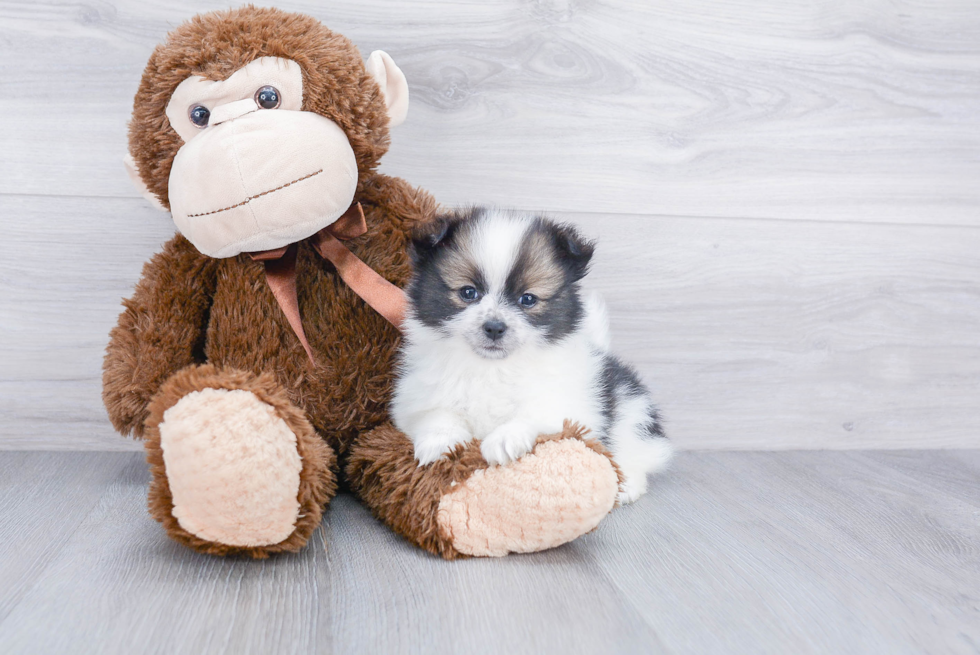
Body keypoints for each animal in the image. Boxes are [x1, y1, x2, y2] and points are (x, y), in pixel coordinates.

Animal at [390, 208, 672, 504]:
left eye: (527, 299)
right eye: (468, 292)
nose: (494, 327)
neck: (493, 368)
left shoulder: (569, 404)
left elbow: (537, 414)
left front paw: (505, 438)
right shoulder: (416, 397)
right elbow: (436, 414)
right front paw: (440, 441)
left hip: (631, 411)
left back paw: (627, 484)